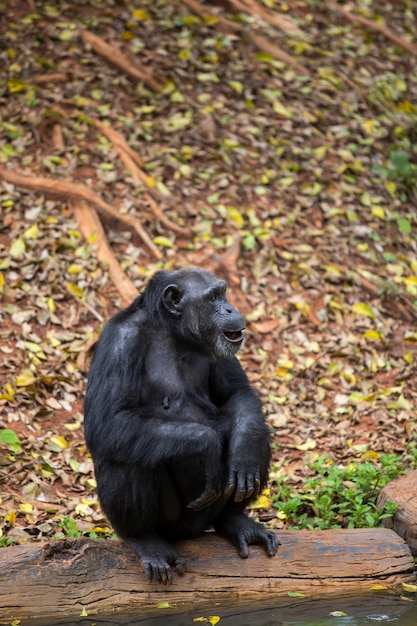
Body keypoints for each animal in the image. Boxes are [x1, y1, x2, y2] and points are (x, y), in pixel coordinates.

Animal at [83, 266, 280, 580]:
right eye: (213, 298)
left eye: (223, 293)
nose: (230, 307)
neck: (172, 331)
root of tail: (194, 531)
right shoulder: (119, 343)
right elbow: (108, 420)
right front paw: (207, 444)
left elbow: (235, 392)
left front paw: (244, 451)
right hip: (172, 523)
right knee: (127, 459)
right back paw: (145, 541)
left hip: (209, 513)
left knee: (253, 430)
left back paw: (236, 521)